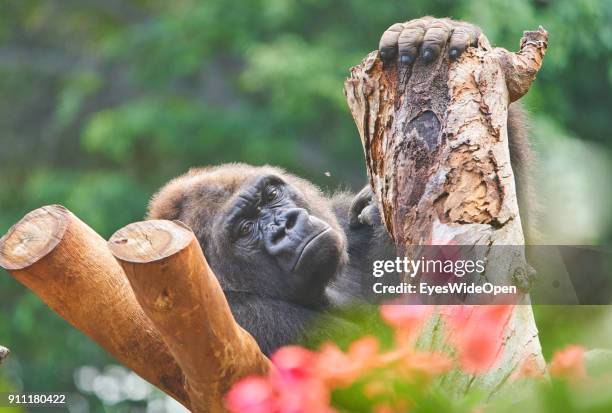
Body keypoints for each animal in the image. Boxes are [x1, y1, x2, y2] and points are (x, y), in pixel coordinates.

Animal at [147, 16, 532, 354]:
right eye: (244, 229)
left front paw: (436, 30)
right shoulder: (240, 319)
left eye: (270, 195)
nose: (285, 225)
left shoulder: (338, 216)